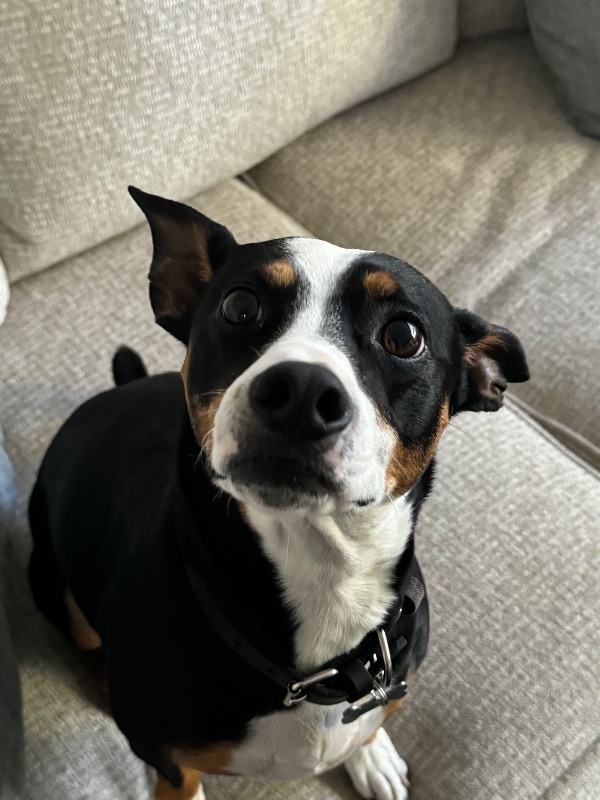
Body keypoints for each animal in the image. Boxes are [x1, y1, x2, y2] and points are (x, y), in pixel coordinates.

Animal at [28, 187, 529, 800]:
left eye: (404, 336)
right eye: (240, 306)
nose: (302, 391)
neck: (325, 572)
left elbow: (368, 724)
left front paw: (372, 752)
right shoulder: (169, 759)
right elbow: (179, 779)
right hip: (53, 582)